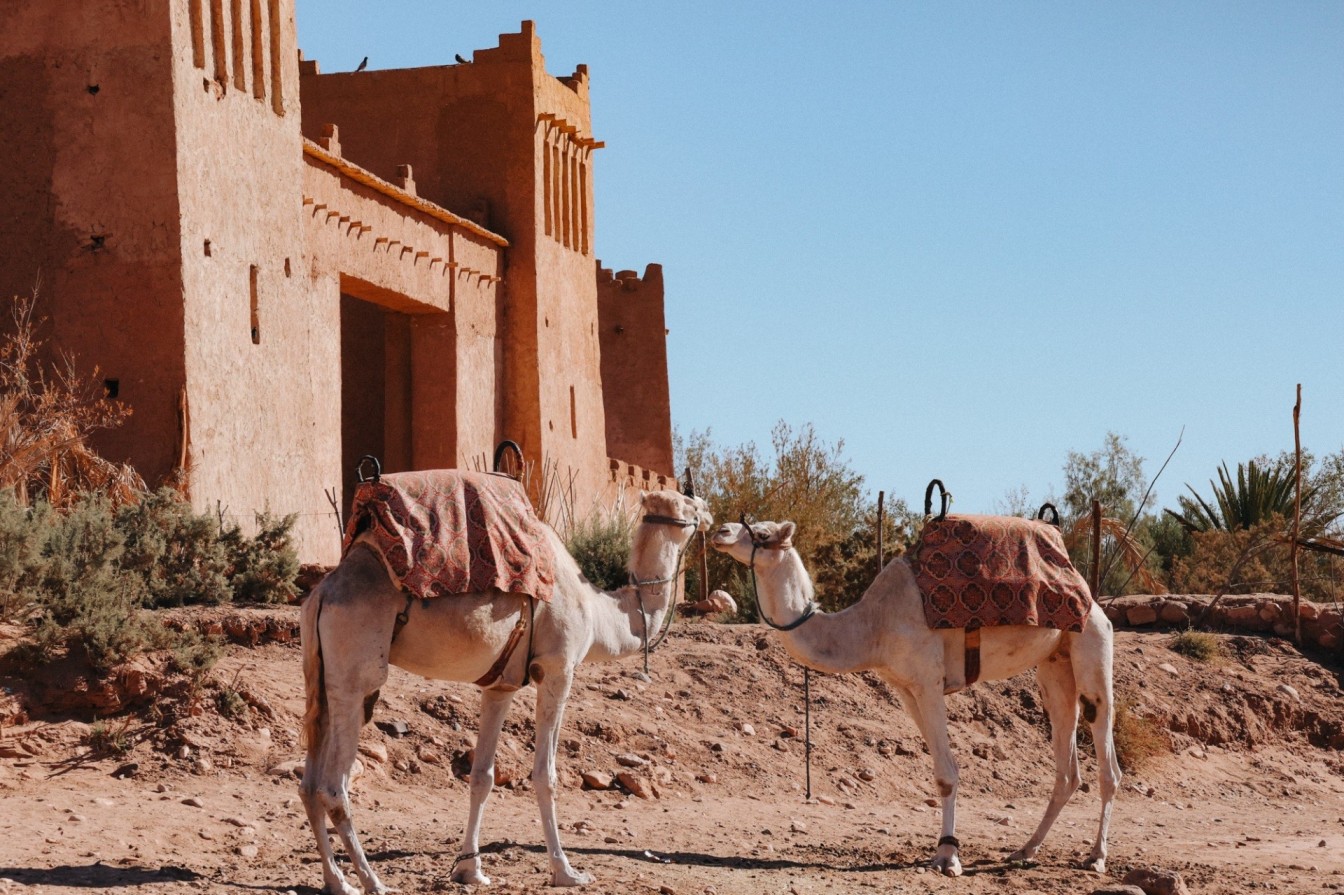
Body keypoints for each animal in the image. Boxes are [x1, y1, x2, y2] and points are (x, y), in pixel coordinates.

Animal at [299, 489, 712, 894]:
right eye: (689, 503)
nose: (710, 515)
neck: (599, 613)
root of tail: (322, 594)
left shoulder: (500, 685)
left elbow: (482, 776)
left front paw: (470, 871)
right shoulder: (558, 669)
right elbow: (545, 775)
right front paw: (566, 872)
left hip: (321, 678)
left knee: (309, 784)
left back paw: (338, 882)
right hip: (355, 674)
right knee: (333, 787)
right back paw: (373, 882)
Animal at [710, 519, 1120, 877]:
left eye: (763, 533)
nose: (720, 531)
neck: (872, 627)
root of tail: (1092, 598)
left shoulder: (928, 681)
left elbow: (947, 775)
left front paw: (948, 857)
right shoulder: (905, 689)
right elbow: (939, 769)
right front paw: (946, 851)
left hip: (1093, 646)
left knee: (1105, 751)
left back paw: (1096, 857)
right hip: (1054, 665)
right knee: (1066, 761)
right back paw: (1025, 850)